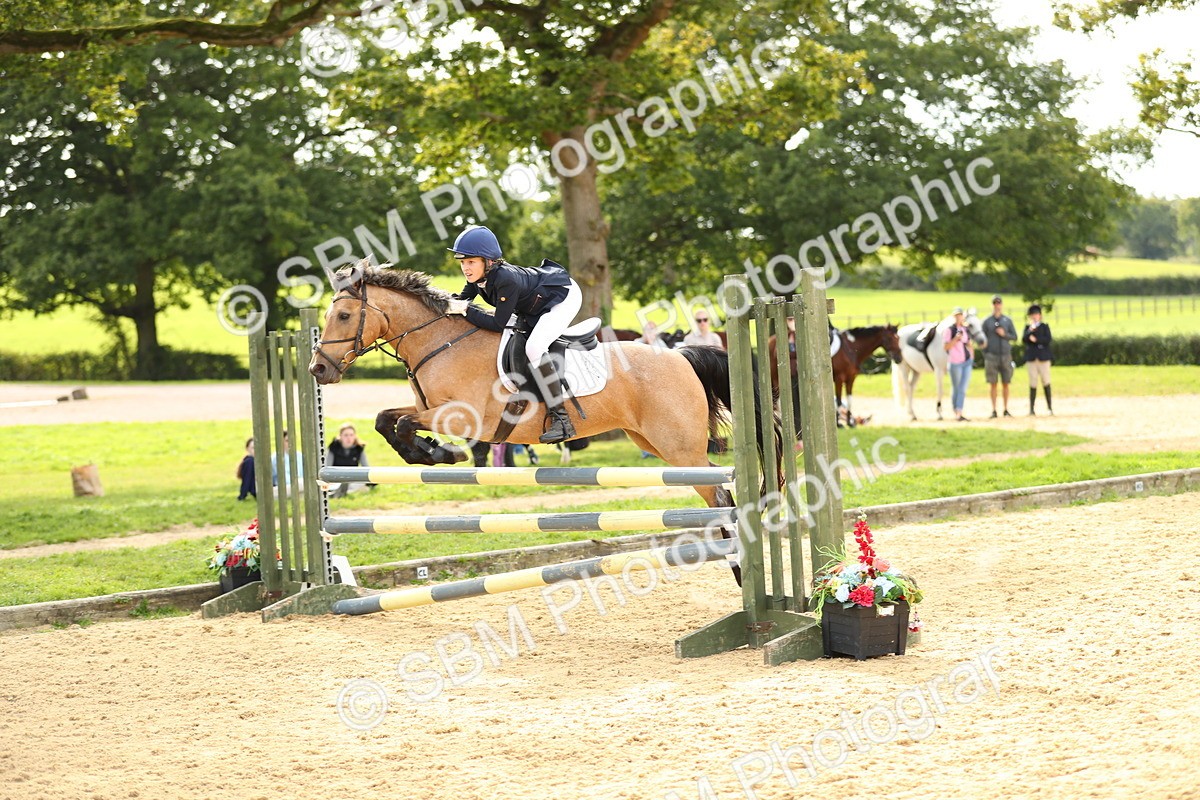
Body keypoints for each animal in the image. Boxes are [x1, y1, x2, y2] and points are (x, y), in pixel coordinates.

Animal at [307, 265, 779, 515]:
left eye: (344, 316)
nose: (317, 368)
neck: (441, 340)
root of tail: (680, 355)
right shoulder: (429, 407)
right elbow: (386, 420)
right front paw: (428, 453)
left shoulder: (464, 416)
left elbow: (404, 423)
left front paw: (443, 453)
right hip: (653, 442)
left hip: (679, 448)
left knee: (719, 493)